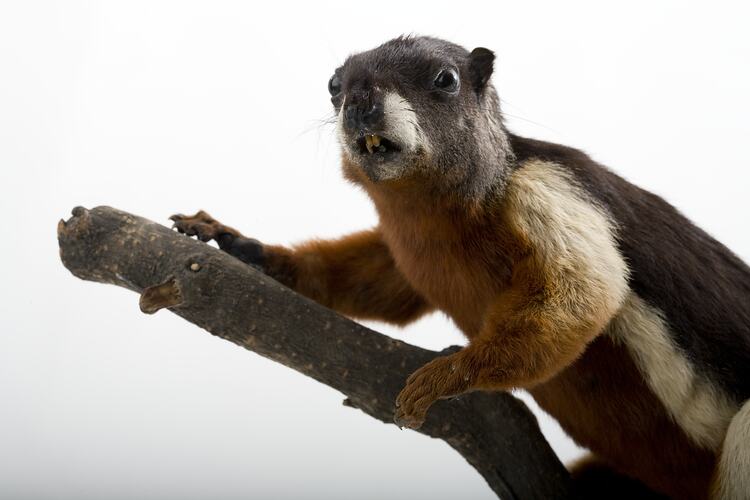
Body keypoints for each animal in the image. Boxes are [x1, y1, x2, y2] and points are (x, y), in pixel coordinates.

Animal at [171, 36, 750, 499]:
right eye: (334, 85)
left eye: (444, 80)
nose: (359, 100)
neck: (433, 219)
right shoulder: (407, 254)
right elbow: (382, 286)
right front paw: (243, 246)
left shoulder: (551, 195)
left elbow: (580, 294)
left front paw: (448, 373)